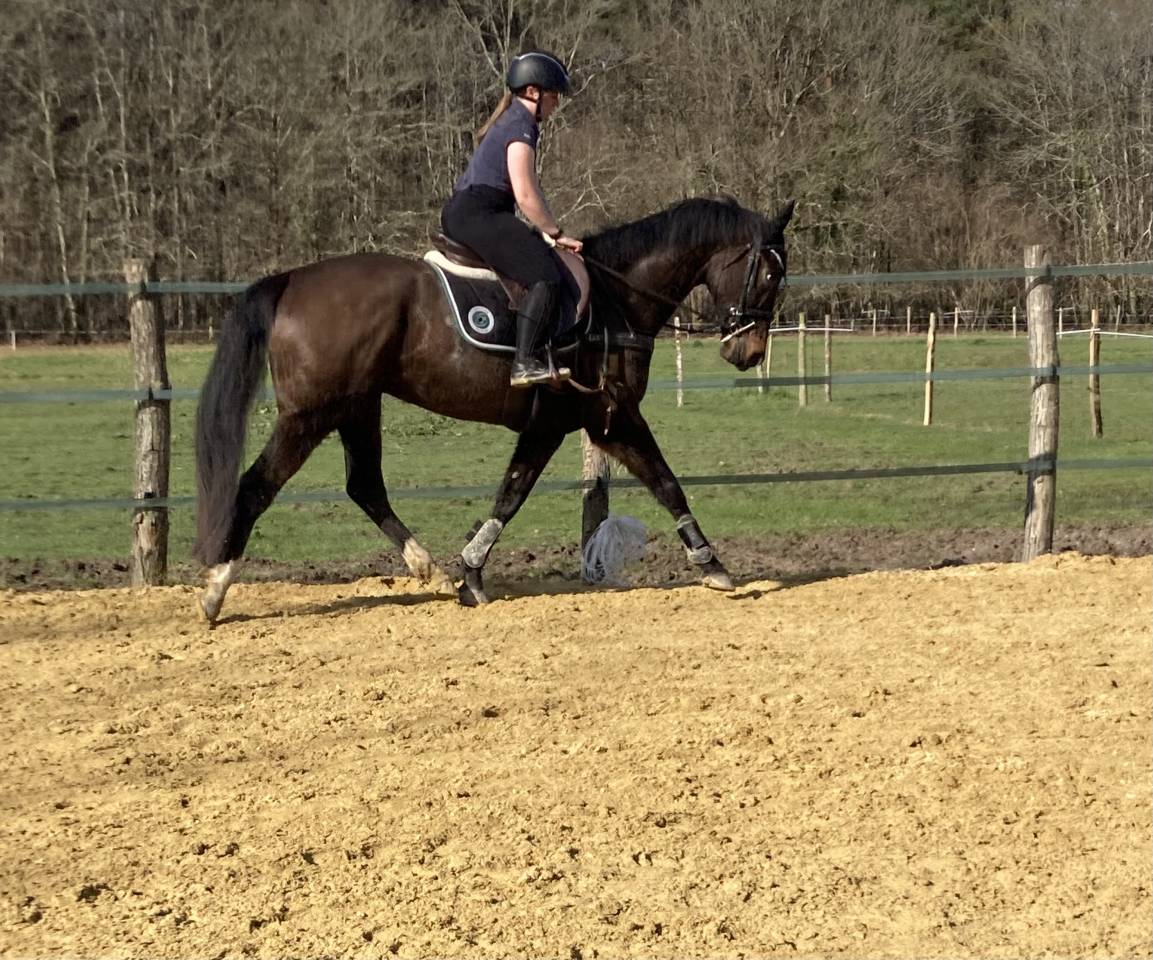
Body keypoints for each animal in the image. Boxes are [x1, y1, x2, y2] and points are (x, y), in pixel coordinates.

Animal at [193, 196, 794, 622]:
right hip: (310, 415)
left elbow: (517, 491)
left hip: (357, 407)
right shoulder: (611, 415)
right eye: (770, 275)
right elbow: (663, 483)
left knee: (364, 485)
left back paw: (429, 569)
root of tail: (291, 280)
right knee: (256, 486)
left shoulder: (566, 424)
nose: (748, 352)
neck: (613, 300)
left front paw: (470, 574)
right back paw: (215, 591)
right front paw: (713, 564)